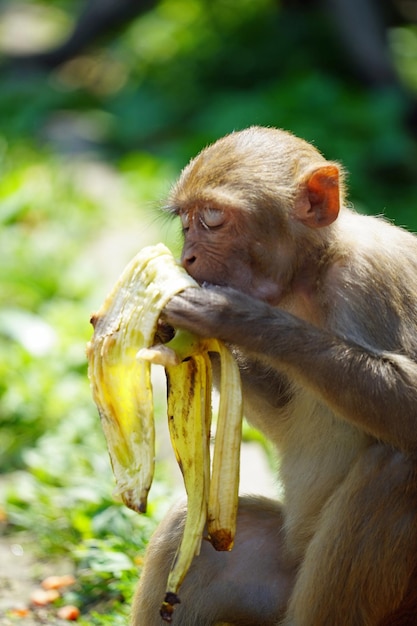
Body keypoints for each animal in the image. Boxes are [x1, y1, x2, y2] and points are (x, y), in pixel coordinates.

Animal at [133, 124, 417, 620]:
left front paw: (234, 317)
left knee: (398, 468)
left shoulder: (374, 280)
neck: (312, 275)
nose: (186, 260)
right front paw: (169, 325)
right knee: (190, 535)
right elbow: (284, 417)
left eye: (212, 218)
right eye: (185, 221)